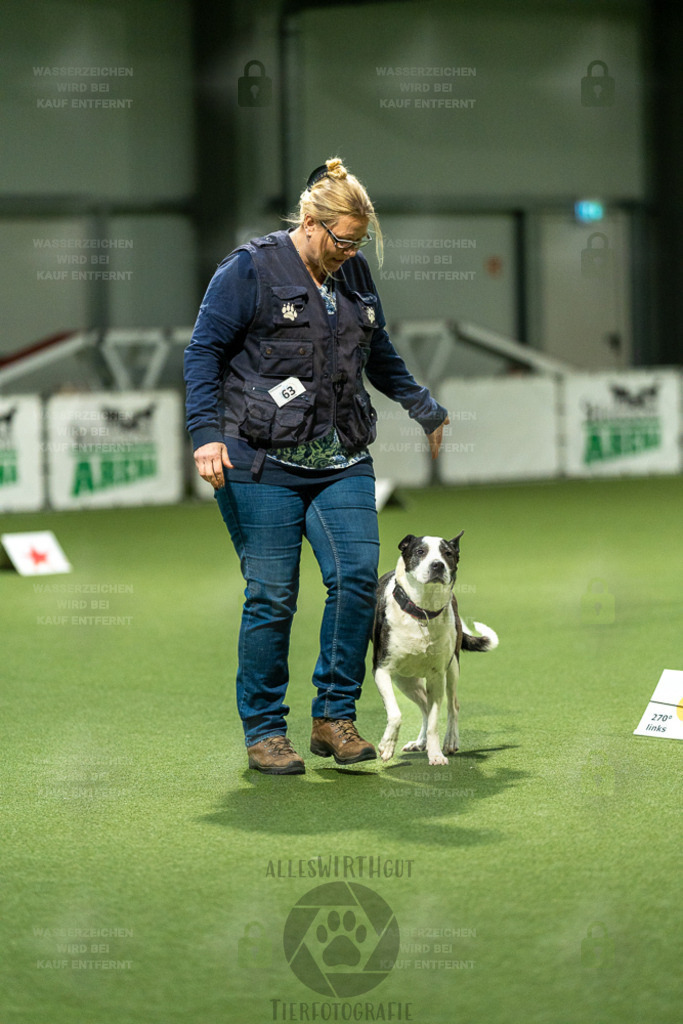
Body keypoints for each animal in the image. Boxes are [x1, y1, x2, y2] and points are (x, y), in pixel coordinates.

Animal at [370, 536, 499, 761]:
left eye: (448, 553)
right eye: (420, 551)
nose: (437, 565)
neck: (422, 611)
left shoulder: (437, 676)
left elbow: (434, 720)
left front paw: (436, 755)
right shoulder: (381, 670)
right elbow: (396, 713)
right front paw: (387, 746)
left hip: (452, 668)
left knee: (452, 705)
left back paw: (450, 741)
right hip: (405, 680)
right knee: (423, 705)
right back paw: (419, 743)